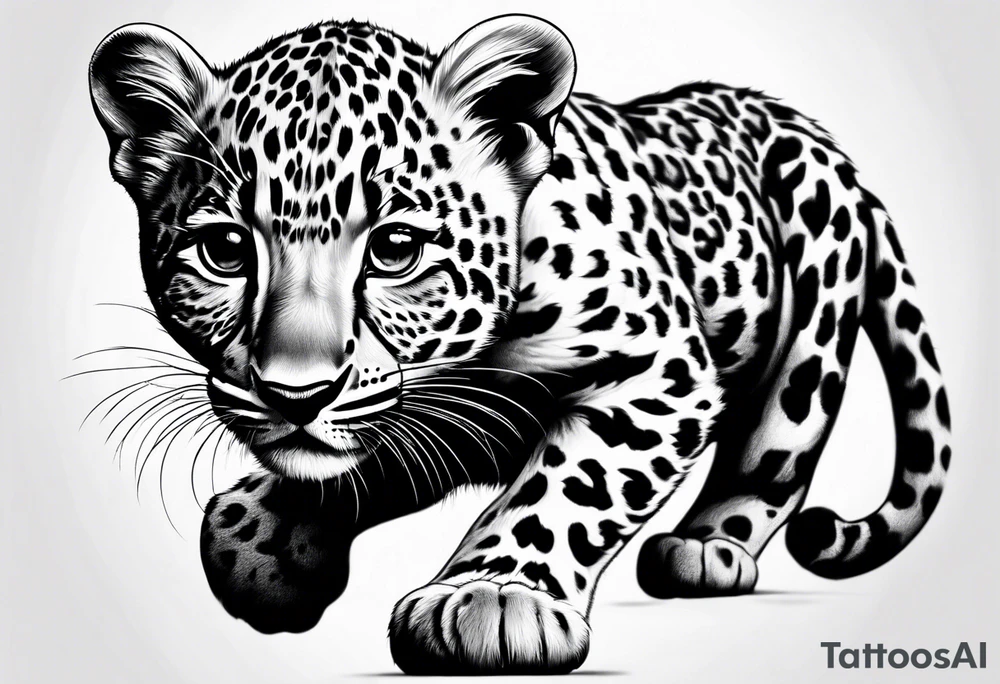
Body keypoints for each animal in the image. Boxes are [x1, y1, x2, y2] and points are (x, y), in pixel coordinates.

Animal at [89, 14, 952, 675]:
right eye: (225, 251)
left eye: (395, 248)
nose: (294, 393)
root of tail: (782, 113)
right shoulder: (444, 418)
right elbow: (367, 460)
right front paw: (262, 544)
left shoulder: (658, 368)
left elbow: (571, 486)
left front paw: (495, 598)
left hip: (809, 326)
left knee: (772, 453)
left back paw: (706, 547)